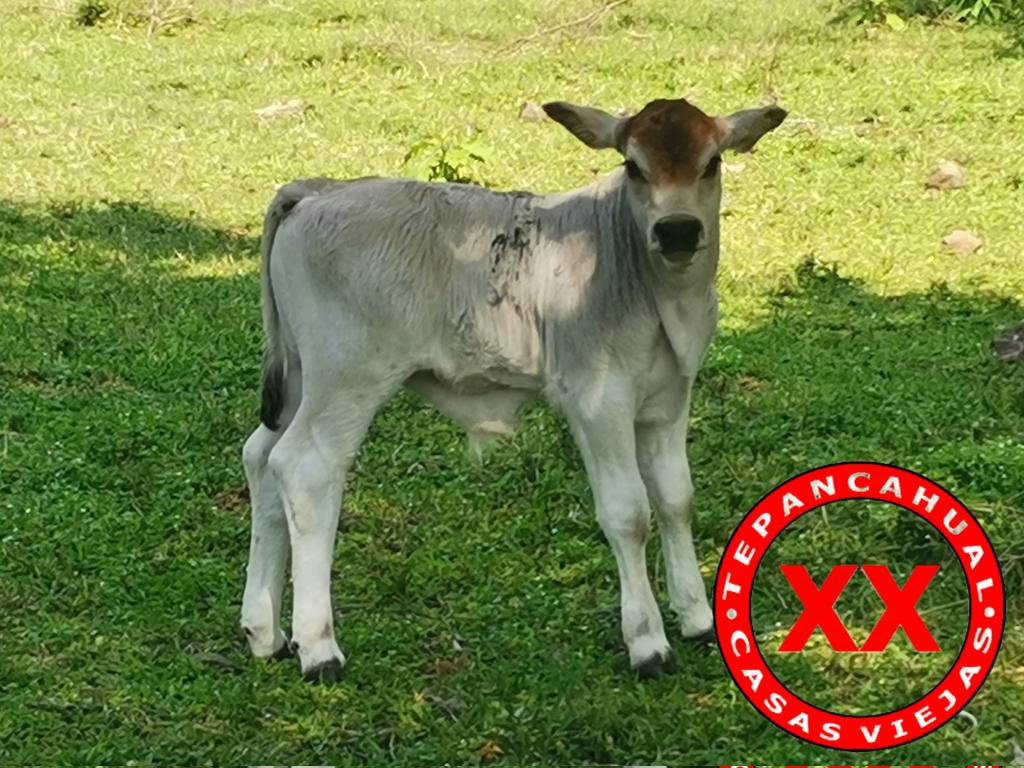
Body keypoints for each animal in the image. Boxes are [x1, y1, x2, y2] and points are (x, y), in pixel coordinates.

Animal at [239, 96, 787, 682]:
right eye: (633, 166)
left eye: (711, 163)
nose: (676, 230)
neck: (659, 294)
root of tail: (317, 190)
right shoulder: (598, 401)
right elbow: (628, 513)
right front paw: (648, 641)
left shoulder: (669, 401)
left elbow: (676, 499)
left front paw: (697, 618)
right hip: (347, 381)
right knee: (304, 470)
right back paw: (319, 647)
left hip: (300, 380)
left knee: (261, 457)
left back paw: (264, 631)